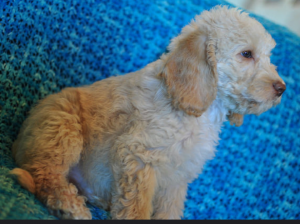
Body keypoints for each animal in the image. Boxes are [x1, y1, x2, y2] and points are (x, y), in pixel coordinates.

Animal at [9, 6, 286, 220]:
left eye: (268, 56)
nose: (282, 88)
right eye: (246, 54)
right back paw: (70, 207)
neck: (203, 113)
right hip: (63, 129)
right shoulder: (139, 156)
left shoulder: (178, 175)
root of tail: (18, 146)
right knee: (47, 177)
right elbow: (137, 208)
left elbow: (170, 210)